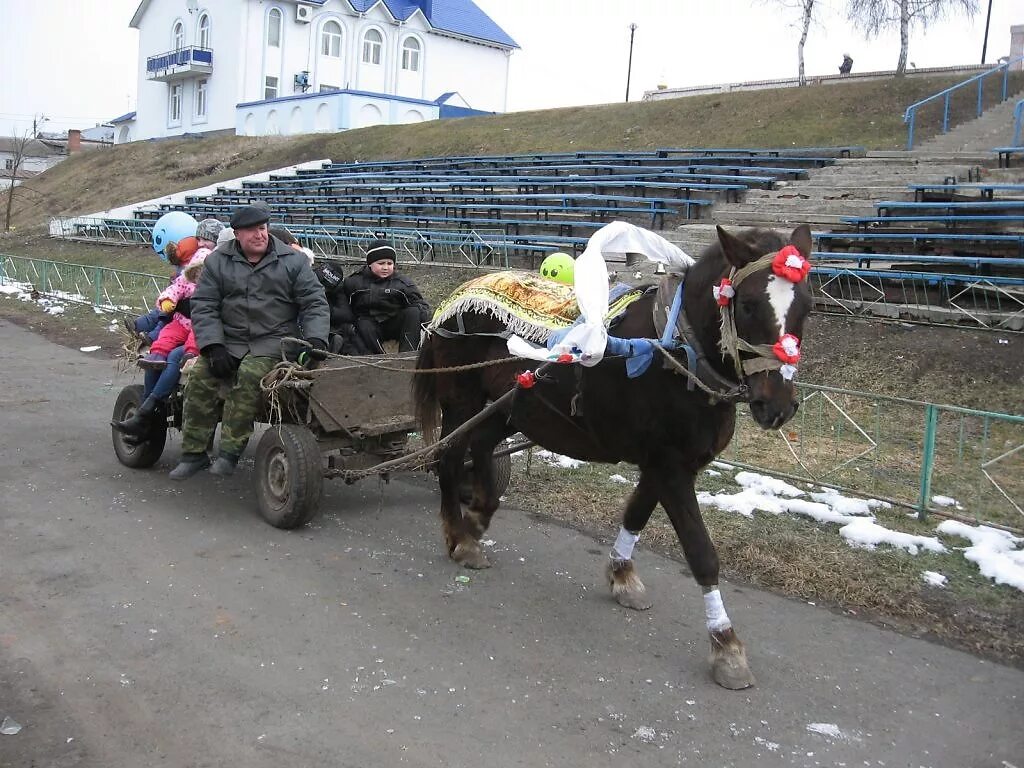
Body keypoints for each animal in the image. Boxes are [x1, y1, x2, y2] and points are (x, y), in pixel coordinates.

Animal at [411, 225, 811, 688]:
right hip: (462, 399)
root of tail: (454, 299)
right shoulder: (669, 466)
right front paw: (726, 645)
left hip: (515, 405)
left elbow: (636, 513)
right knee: (449, 456)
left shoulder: (668, 464)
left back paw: (477, 518)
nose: (777, 405)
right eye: (747, 304)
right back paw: (459, 536)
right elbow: (702, 553)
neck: (676, 348)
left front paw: (622, 574)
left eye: (807, 307)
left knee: (482, 444)